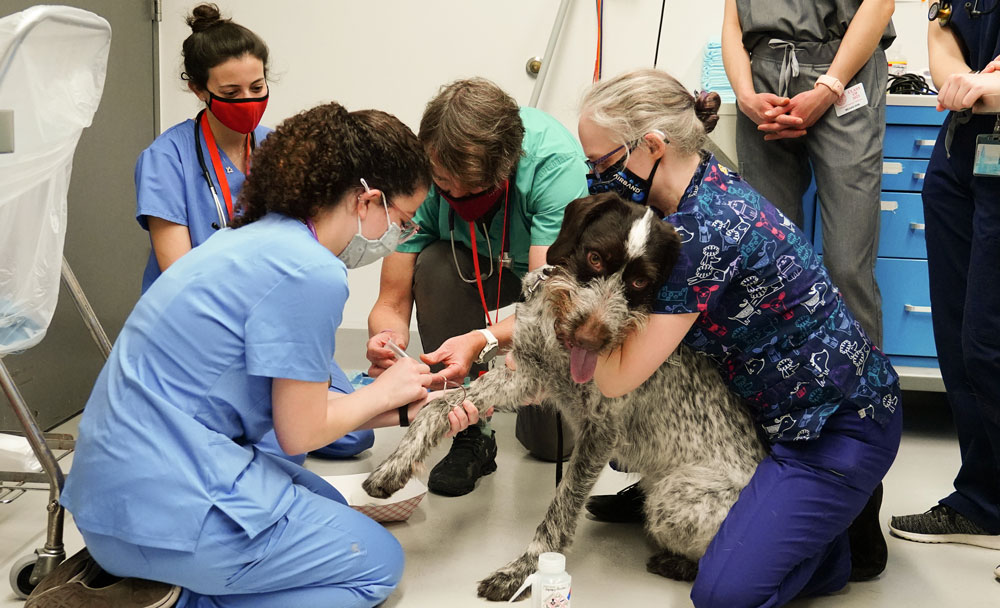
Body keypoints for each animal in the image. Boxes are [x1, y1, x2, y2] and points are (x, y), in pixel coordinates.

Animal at [366, 194, 764, 600]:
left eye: (640, 281)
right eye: (595, 258)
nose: (591, 339)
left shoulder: (600, 432)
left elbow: (561, 506)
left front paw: (523, 571)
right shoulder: (527, 375)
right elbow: (439, 403)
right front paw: (393, 467)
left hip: (674, 495)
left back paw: (676, 562)